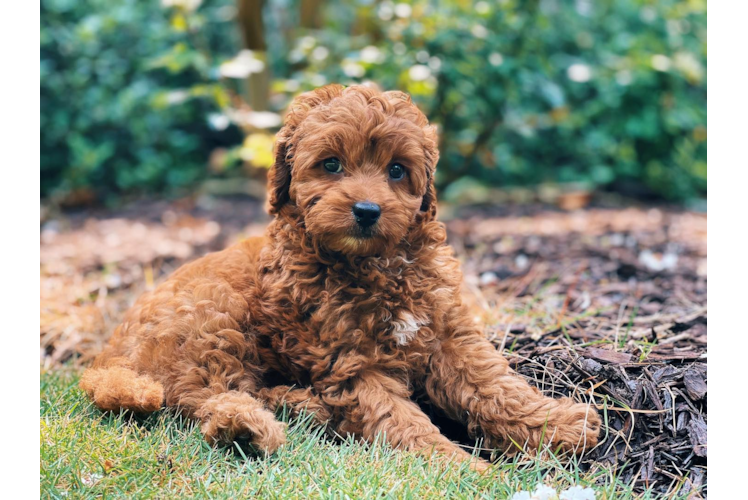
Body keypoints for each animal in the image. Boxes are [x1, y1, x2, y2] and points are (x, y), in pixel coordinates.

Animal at [80, 84, 600, 470]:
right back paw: (249, 428)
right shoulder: (349, 363)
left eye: (397, 171)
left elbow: (493, 385)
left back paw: (298, 407)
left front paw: (554, 424)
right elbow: (398, 419)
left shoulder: (448, 335)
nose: (367, 210)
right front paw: (460, 468)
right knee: (203, 395)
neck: (377, 266)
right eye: (331, 164)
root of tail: (106, 359)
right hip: (214, 311)